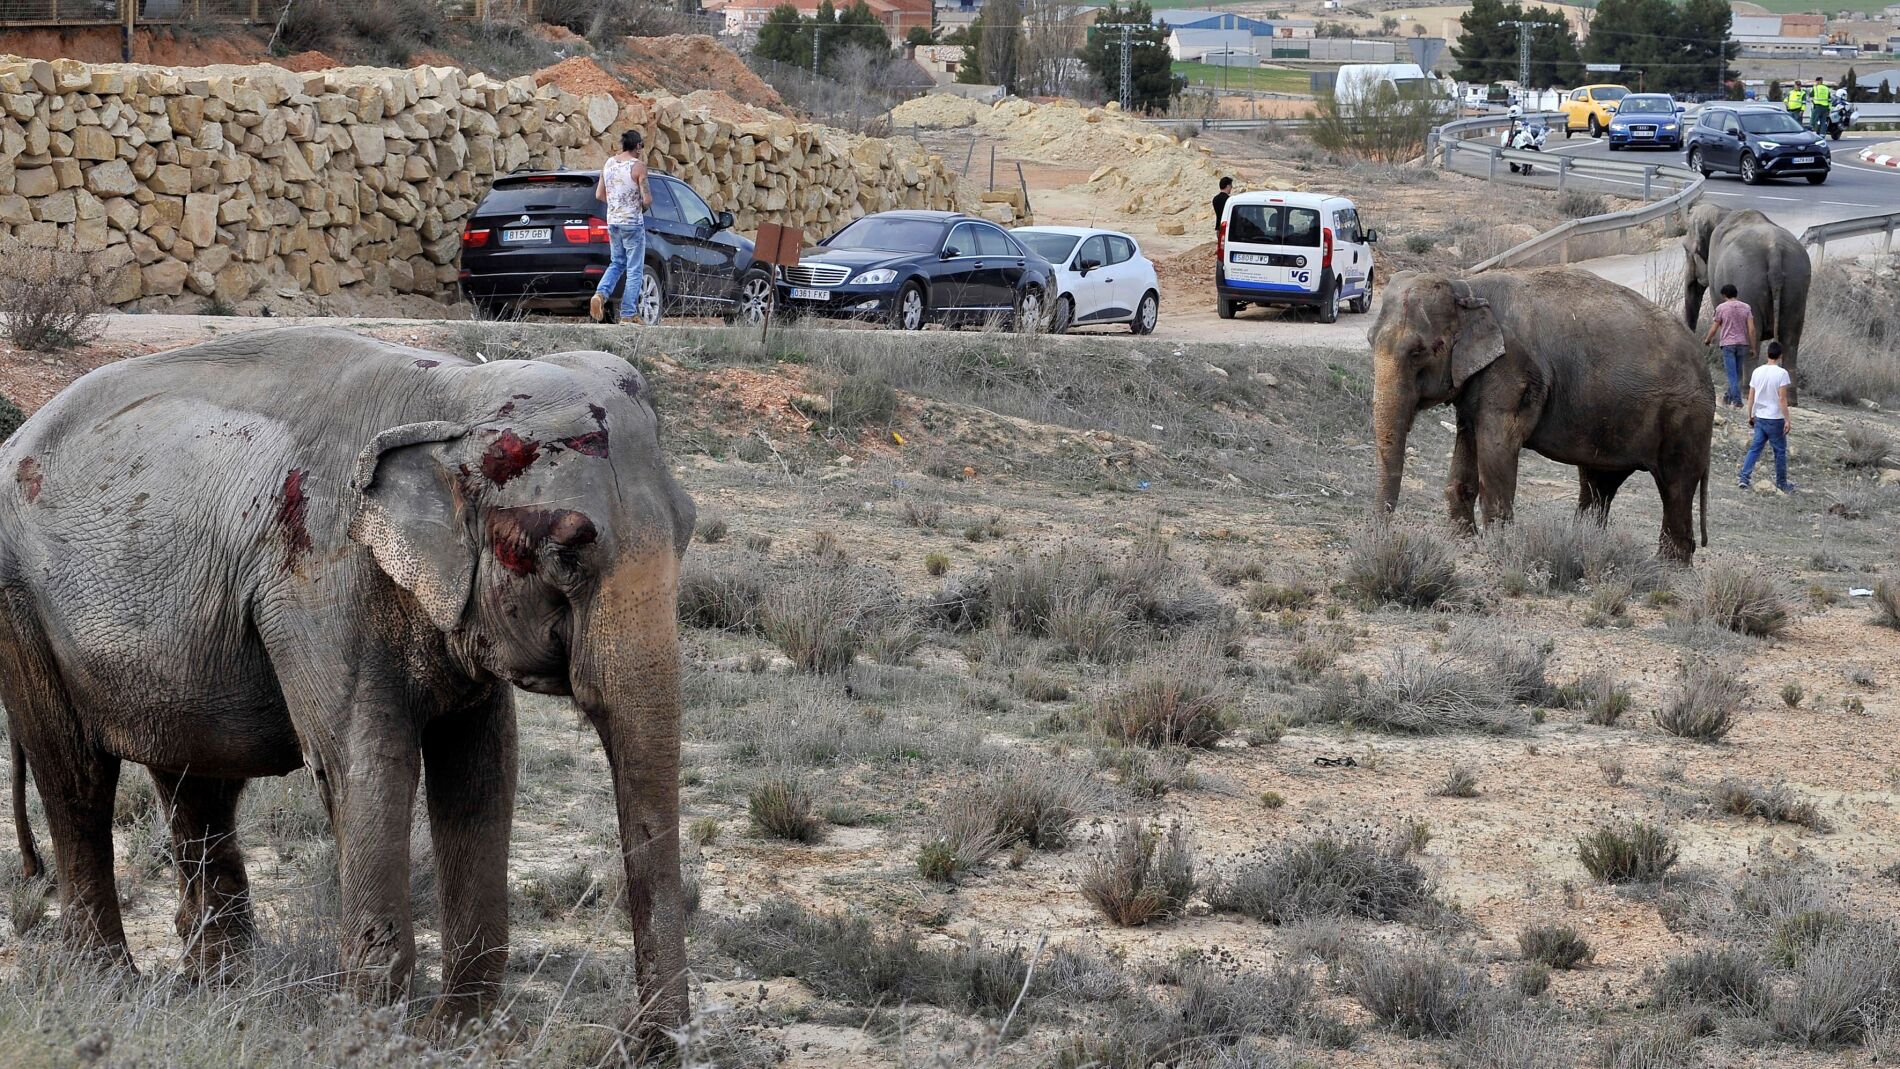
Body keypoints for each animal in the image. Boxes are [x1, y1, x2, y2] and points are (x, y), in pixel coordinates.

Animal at [0, 327, 694, 1035]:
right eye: (565, 554)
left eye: (690, 527)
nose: (648, 1043)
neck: (454, 397)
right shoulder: (321, 580)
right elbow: (367, 766)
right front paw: (369, 1034)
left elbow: (482, 767)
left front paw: (456, 1035)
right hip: (21, 606)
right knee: (77, 779)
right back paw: (110, 982)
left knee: (199, 781)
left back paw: (222, 987)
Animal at [1369, 268, 1713, 562]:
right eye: (1370, 341)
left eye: (1418, 352)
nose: (1385, 535)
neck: (1465, 286)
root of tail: (1705, 364)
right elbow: (1468, 440)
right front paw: (1463, 542)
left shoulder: (1512, 373)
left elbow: (1496, 447)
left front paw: (1499, 548)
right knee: (1599, 483)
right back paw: (1587, 545)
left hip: (1685, 420)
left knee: (1675, 485)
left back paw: (1668, 566)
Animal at [1682, 203, 1811, 404]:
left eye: (1686, 250)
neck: (1722, 211)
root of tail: (1774, 251)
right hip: (1797, 283)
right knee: (1791, 338)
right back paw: (1790, 400)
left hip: (1748, 282)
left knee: (1754, 333)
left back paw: (1745, 391)